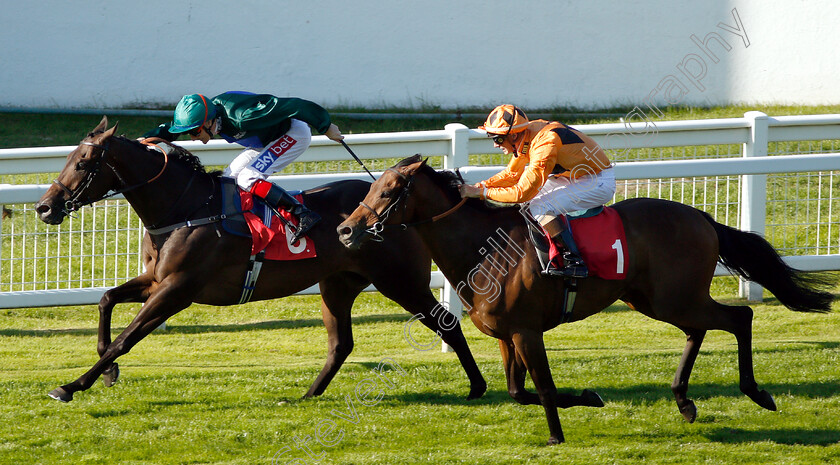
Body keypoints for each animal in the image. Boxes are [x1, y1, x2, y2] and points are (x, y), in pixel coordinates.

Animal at [34, 118, 486, 402]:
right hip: (338, 283)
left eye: (84, 162)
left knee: (446, 324)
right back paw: (307, 395)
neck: (185, 208)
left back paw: (478, 387)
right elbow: (106, 299)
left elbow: (126, 338)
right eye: (69, 158)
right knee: (341, 343)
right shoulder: (156, 280)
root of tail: (397, 207)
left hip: (400, 280)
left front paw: (71, 385)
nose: (44, 207)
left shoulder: (178, 289)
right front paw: (107, 372)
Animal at [338, 154, 836, 444]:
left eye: (388, 191)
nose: (345, 230)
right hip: (655, 300)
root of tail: (703, 218)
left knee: (740, 317)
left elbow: (543, 387)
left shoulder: (527, 330)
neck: (484, 248)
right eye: (370, 186)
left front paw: (559, 434)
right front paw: (587, 400)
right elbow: (518, 392)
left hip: (675, 298)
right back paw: (684, 401)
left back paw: (756, 393)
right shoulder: (505, 335)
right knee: (701, 329)